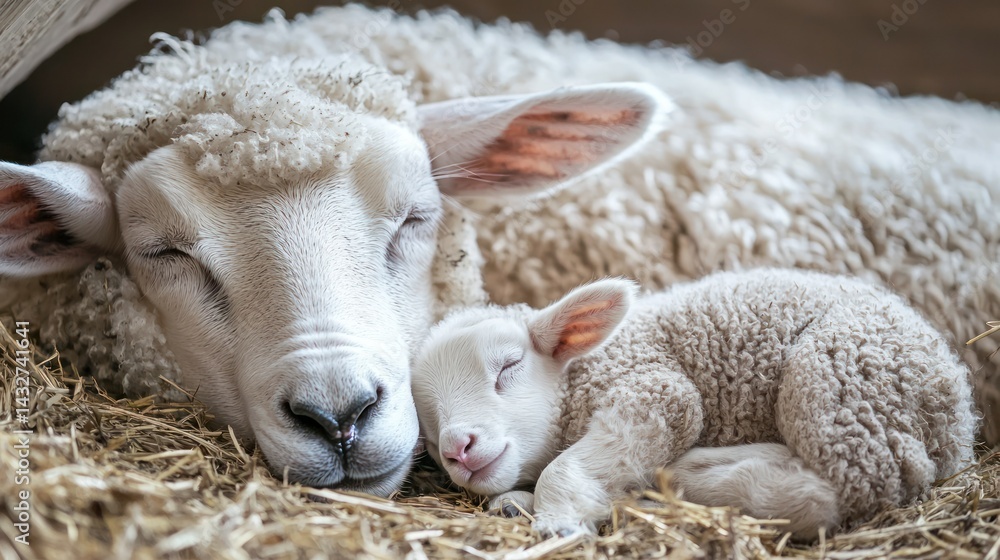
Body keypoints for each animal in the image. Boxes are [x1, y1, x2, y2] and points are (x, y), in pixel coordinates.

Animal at [412, 269, 977, 538]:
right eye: (431, 433)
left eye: (507, 368)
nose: (459, 447)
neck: (583, 371)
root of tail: (957, 422)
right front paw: (518, 502)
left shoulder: (655, 392)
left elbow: (565, 468)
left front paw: (558, 521)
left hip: (837, 380)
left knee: (830, 492)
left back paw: (684, 478)